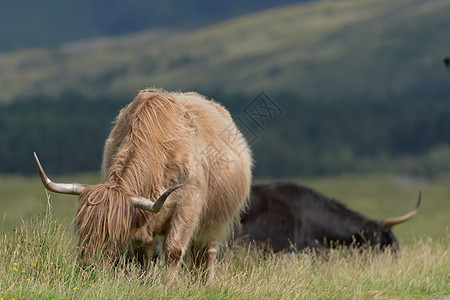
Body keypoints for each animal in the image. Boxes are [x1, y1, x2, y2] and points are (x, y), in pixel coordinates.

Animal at [34, 88, 253, 282]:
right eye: (81, 229)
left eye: (116, 235)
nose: (88, 267)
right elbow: (143, 252)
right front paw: (145, 282)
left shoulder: (188, 206)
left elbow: (174, 249)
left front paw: (169, 286)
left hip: (215, 222)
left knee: (206, 251)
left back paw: (204, 283)